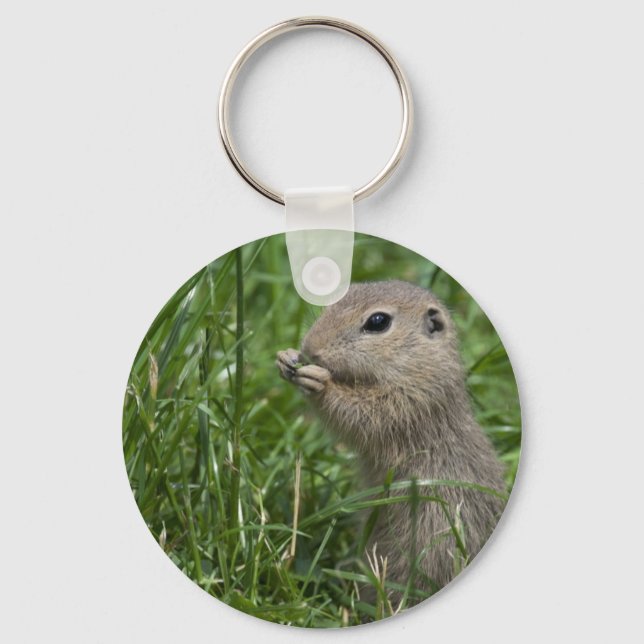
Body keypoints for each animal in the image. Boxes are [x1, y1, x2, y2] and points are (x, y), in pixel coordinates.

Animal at [276, 280, 507, 597]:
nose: (310, 347)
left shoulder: (411, 402)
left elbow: (363, 414)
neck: (420, 364)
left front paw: (319, 382)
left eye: (378, 321)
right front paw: (286, 358)